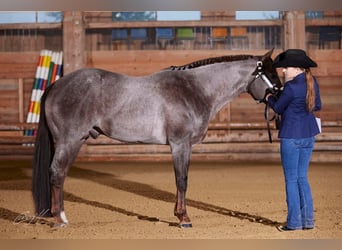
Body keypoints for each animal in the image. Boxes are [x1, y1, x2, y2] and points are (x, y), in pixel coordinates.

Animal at [33, 48, 282, 229]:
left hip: (74, 141)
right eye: (270, 75)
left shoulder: (184, 146)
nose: (281, 94)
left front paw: (180, 215)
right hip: (69, 140)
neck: (194, 90)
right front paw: (184, 218)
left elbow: (182, 179)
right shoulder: (180, 144)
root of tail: (56, 85)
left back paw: (61, 216)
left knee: (61, 174)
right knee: (57, 172)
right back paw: (59, 220)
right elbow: (181, 179)